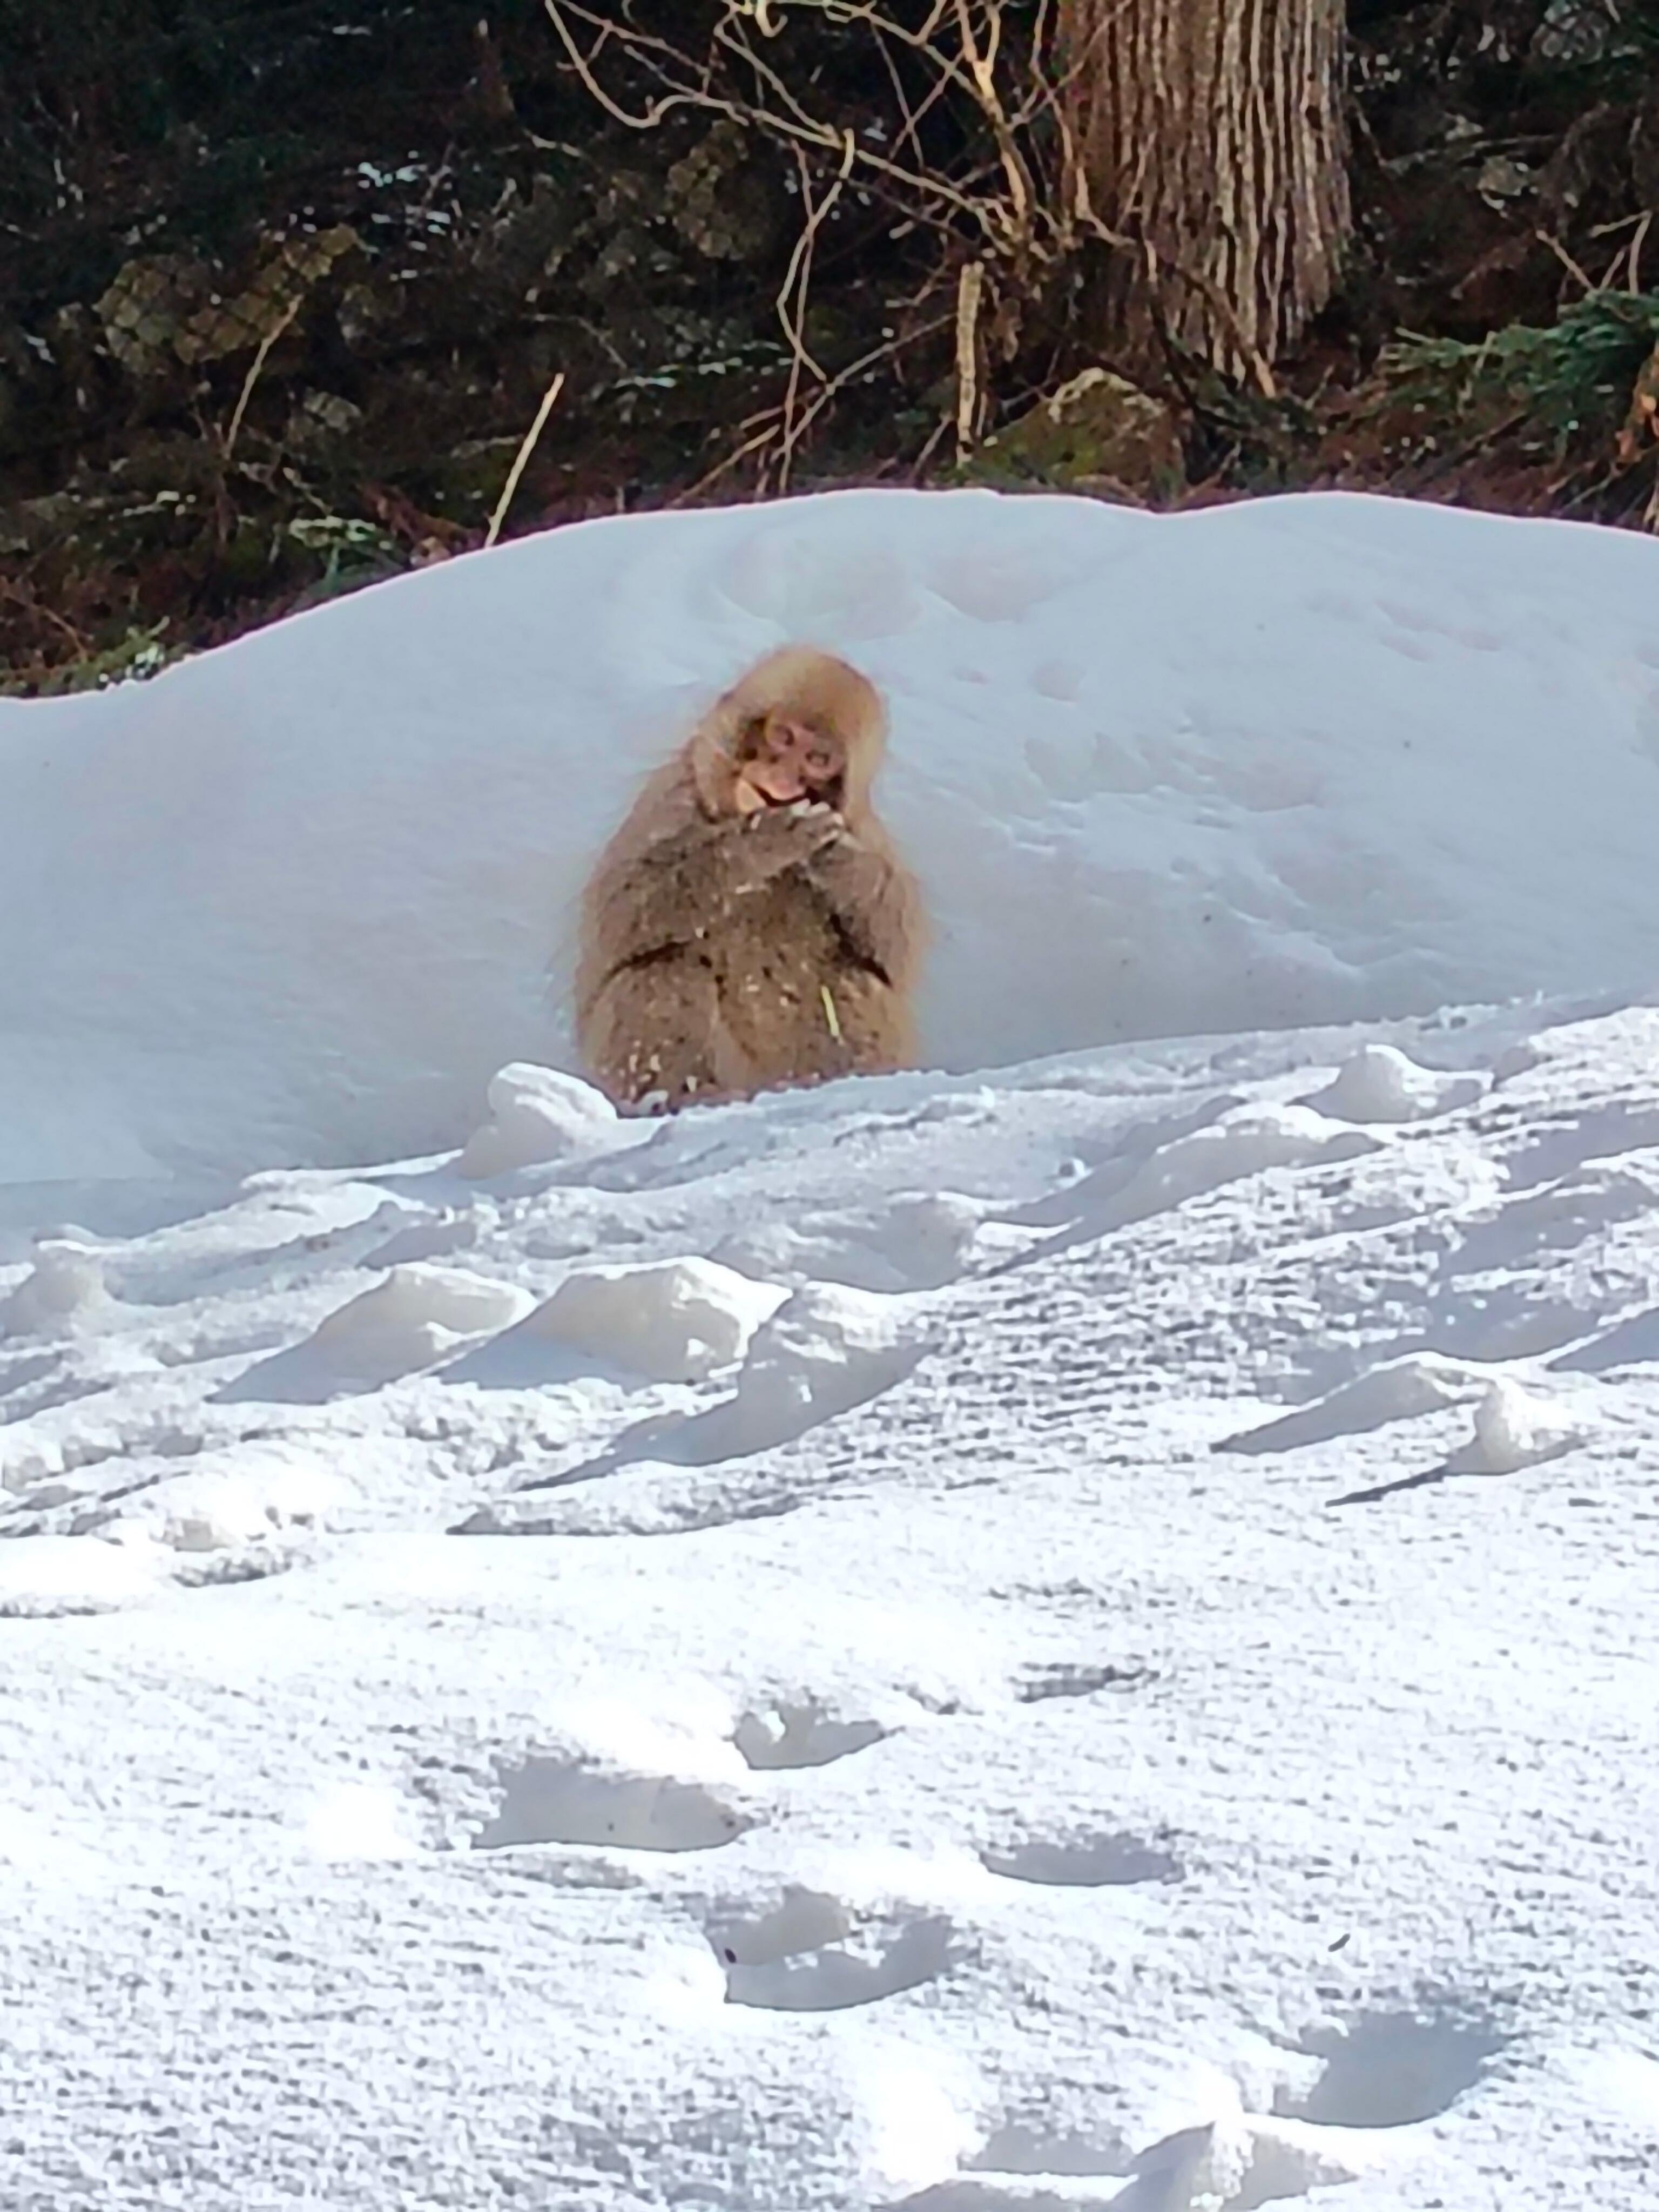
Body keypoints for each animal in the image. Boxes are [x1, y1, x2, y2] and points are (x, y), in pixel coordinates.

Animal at [575, 645, 923, 1112]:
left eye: (817, 759)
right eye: (784, 737)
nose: (783, 775)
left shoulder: (865, 829)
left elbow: (896, 953)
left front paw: (836, 859)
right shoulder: (672, 798)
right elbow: (617, 914)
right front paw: (758, 846)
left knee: (847, 976)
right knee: (662, 966)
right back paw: (680, 1098)